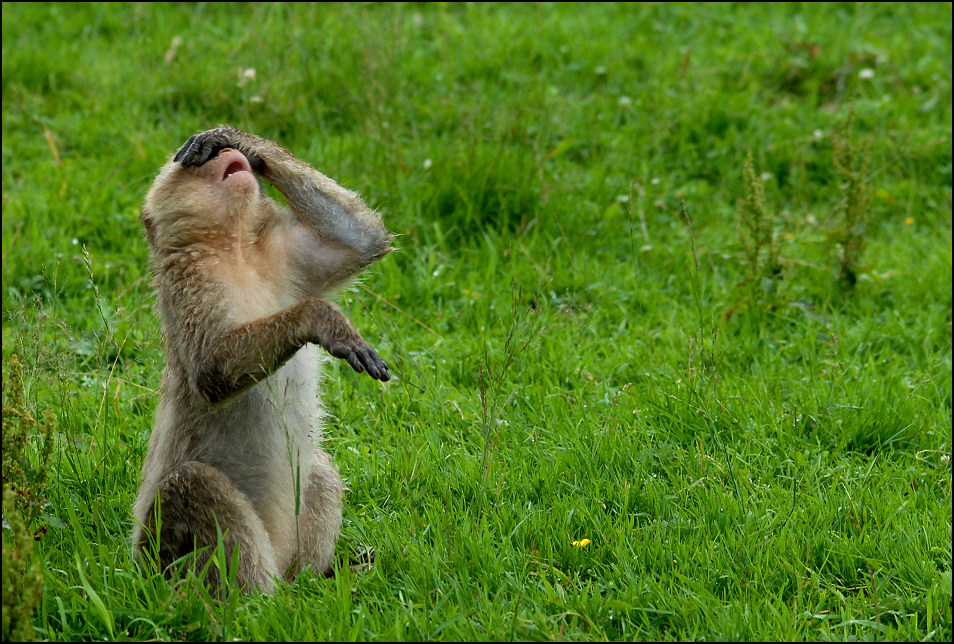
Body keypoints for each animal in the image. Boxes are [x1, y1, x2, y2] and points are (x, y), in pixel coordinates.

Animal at [130, 126, 390, 592]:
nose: (225, 157)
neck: (235, 250)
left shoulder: (286, 257)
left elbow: (364, 240)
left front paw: (235, 140)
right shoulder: (190, 281)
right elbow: (211, 368)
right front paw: (320, 318)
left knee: (319, 467)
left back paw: (314, 582)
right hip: (160, 550)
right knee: (194, 483)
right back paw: (261, 601)